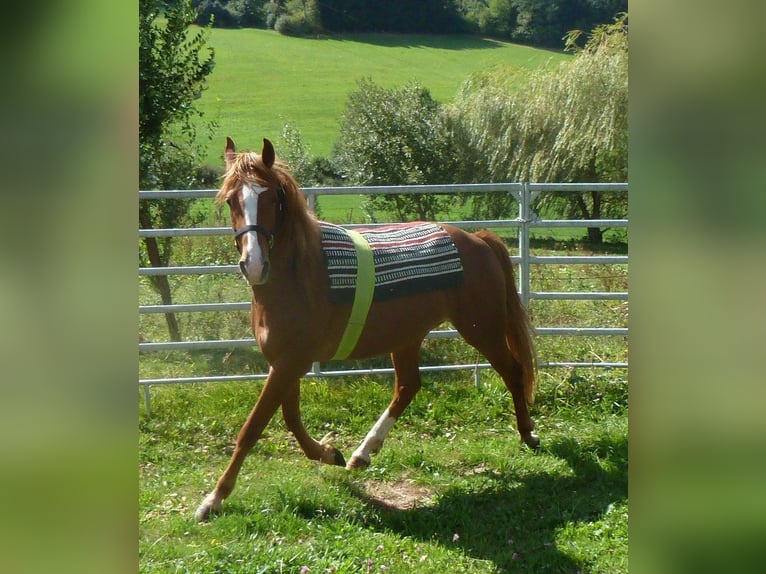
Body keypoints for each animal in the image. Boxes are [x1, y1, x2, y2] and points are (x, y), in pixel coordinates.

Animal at [195, 137, 539, 521]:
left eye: (271, 198)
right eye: (231, 200)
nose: (254, 265)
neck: (301, 277)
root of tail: (478, 240)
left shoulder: (290, 363)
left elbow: (253, 427)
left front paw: (214, 499)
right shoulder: (283, 363)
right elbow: (291, 419)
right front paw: (330, 453)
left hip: (482, 329)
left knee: (513, 371)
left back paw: (528, 435)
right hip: (407, 336)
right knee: (408, 386)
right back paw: (362, 453)